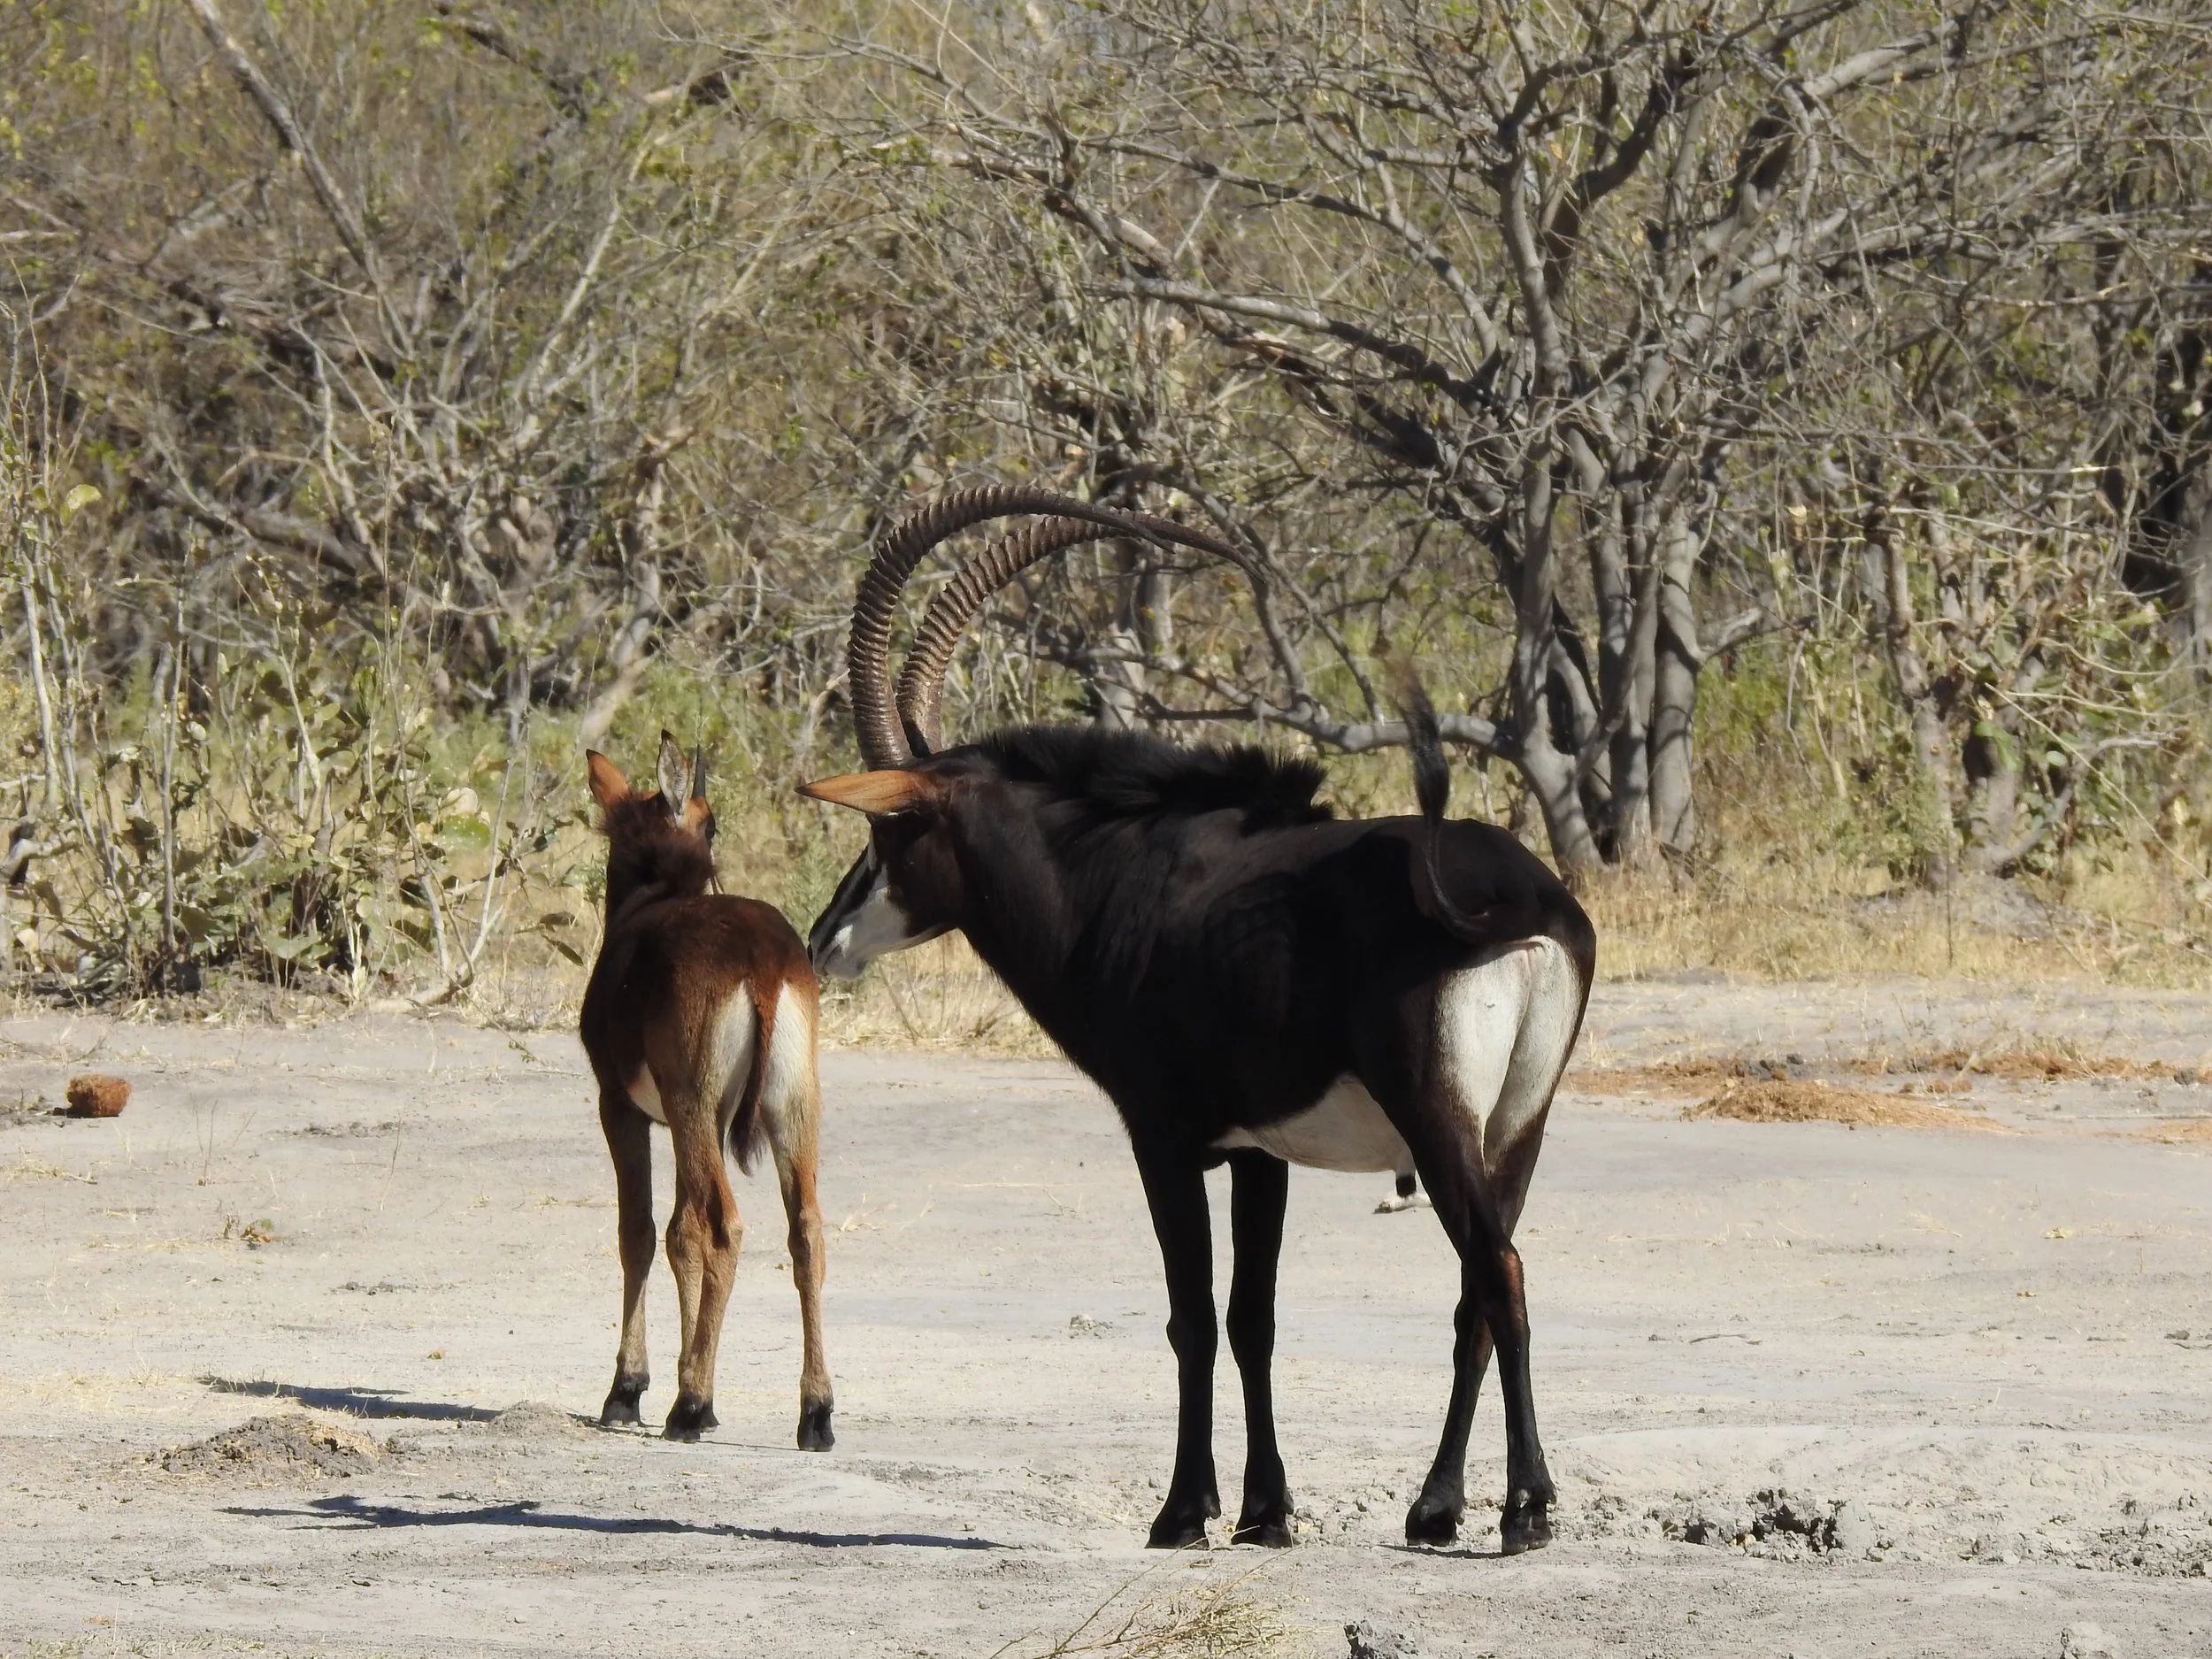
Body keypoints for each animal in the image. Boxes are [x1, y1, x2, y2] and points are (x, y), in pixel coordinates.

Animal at [580, 735, 834, 1450]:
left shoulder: (623, 1107)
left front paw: (629, 1389)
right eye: (713, 821)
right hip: (791, 1107)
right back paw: (816, 1412)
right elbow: (679, 1234)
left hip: (693, 1104)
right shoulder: (703, 1121)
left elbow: (642, 1231)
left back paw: (688, 1405)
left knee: (724, 1226)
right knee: (806, 1231)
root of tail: (765, 962)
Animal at [800, 488, 1594, 1555]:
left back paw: (1525, 1508)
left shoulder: (1163, 1138)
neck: (1117, 874)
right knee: (1477, 1282)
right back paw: (1433, 1508)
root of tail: (1514, 897)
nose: (822, 939)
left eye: (892, 826)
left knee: (1497, 1272)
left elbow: (1191, 1315)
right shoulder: (1261, 1152)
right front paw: (1264, 1511)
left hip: (1436, 1121)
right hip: (1516, 1128)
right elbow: (1253, 1316)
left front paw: (1183, 1511)